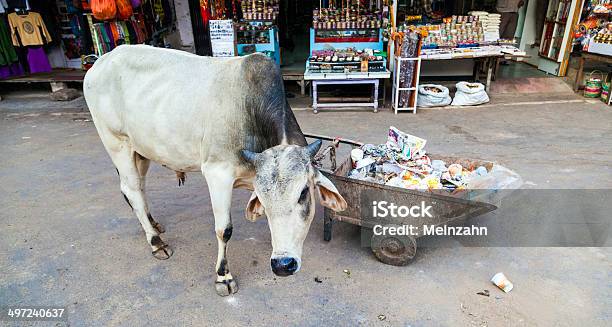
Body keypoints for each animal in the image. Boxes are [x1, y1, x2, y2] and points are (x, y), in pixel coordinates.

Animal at [83, 45, 346, 298]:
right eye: (263, 198)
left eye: (303, 193)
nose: (283, 264)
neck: (250, 109)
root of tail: (100, 61)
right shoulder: (217, 173)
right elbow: (224, 230)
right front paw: (223, 277)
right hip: (117, 144)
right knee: (132, 190)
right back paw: (156, 242)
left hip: (142, 150)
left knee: (137, 188)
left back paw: (154, 224)